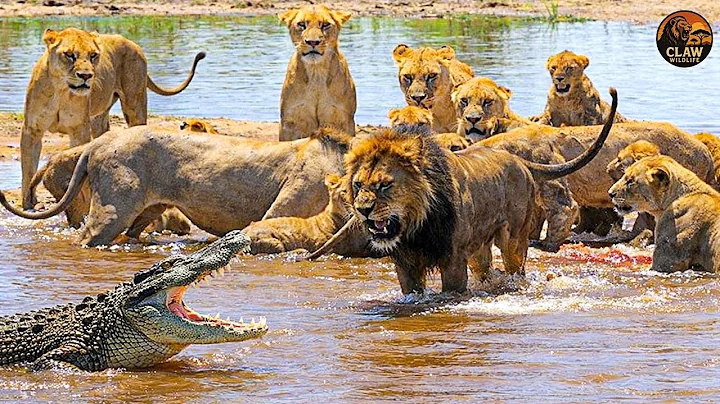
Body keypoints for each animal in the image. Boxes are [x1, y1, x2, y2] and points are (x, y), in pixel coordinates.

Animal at [21, 27, 205, 209]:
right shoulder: (32, 130)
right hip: (98, 119)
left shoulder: (79, 131)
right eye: (69, 54)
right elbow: (28, 169)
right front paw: (27, 203)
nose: (86, 76)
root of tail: (132, 43)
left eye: (93, 55)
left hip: (134, 104)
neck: (61, 91)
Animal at [278, 5, 356, 141]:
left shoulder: (345, 119)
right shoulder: (288, 122)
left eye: (325, 25)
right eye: (302, 24)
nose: (313, 42)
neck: (316, 73)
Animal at [313, 92, 616, 294]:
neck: (417, 223)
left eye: (385, 184)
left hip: (513, 240)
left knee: (516, 268)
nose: (362, 210)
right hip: (479, 249)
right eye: (357, 185)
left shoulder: (454, 259)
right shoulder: (406, 265)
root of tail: (519, 160)